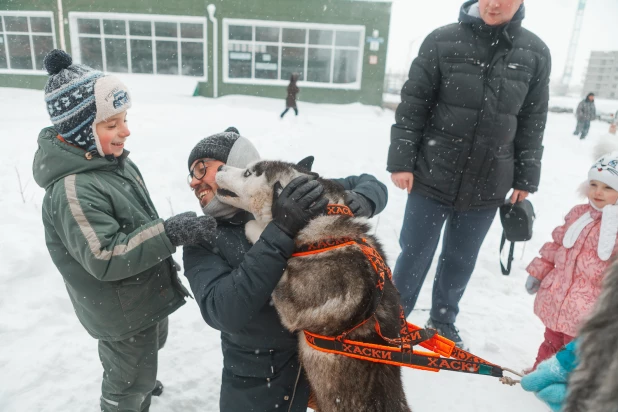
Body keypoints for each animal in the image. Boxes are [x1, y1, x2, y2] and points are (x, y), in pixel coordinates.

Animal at [214, 161, 412, 412]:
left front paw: (257, 228)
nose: (219, 167)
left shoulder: (292, 305)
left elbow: (267, 236)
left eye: (248, 172)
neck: (322, 229)